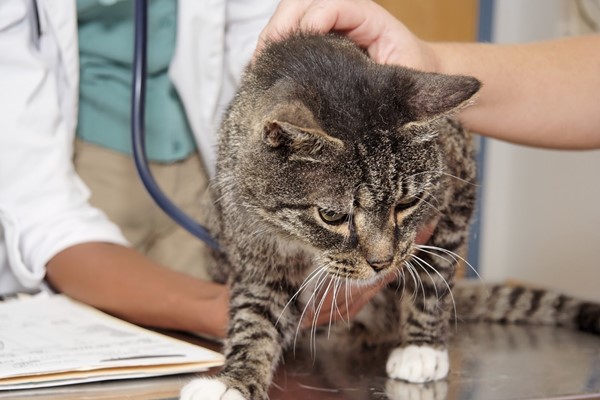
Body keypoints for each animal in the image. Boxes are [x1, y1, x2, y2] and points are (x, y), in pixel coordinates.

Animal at [182, 32, 600, 400]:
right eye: (331, 215)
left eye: (406, 203)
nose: (382, 262)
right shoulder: (255, 250)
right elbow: (255, 317)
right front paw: (234, 380)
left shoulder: (459, 187)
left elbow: (433, 277)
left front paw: (422, 348)